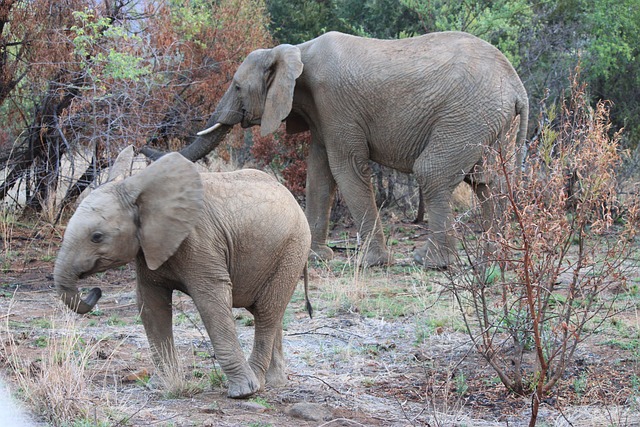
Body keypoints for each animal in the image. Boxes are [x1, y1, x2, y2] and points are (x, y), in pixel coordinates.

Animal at [142, 31, 528, 270]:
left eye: (237, 87)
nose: (145, 143)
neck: (295, 50)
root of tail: (517, 87)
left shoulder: (335, 103)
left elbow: (346, 168)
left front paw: (370, 263)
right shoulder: (320, 113)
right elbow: (319, 175)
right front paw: (316, 257)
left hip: (467, 114)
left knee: (432, 172)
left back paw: (430, 262)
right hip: (491, 119)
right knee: (490, 181)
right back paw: (495, 257)